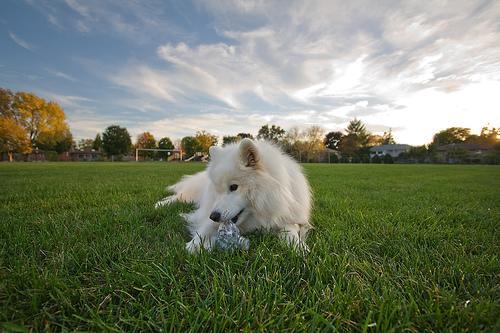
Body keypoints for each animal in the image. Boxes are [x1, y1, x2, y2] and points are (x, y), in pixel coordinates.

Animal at [156, 137, 312, 252]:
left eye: (233, 187)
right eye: (218, 190)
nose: (214, 216)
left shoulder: (289, 216)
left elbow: (290, 230)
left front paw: (298, 247)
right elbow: (205, 228)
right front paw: (194, 245)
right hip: (191, 195)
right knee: (178, 196)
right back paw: (160, 204)